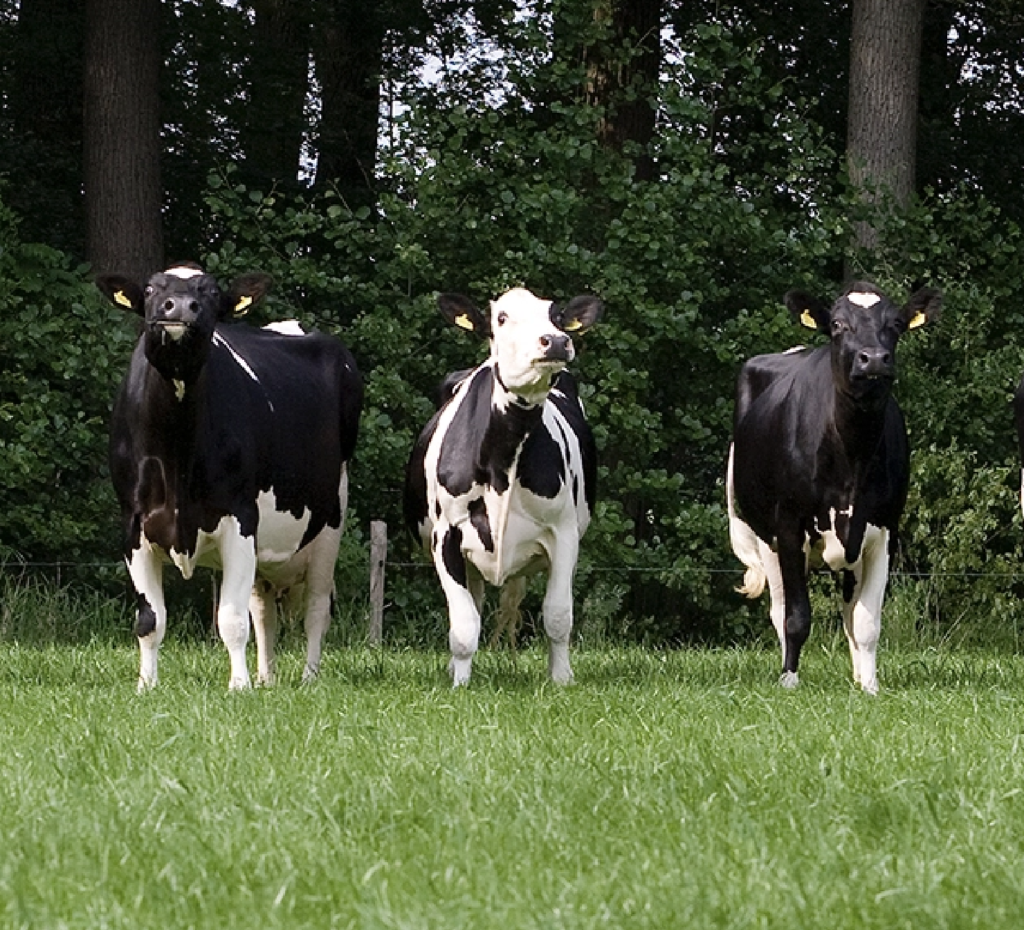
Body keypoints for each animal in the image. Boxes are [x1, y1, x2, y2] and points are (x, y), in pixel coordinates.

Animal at [98, 264, 364, 688]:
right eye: (153, 289)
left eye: (210, 292)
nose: (180, 306)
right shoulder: (133, 524)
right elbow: (150, 620)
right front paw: (146, 685)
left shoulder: (240, 517)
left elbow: (232, 620)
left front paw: (238, 686)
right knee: (265, 611)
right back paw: (266, 677)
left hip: (330, 520)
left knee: (317, 609)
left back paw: (308, 677)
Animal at [403, 286, 602, 688]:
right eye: (502, 318)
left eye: (556, 316)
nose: (557, 341)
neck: (502, 461)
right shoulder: (446, 536)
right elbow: (463, 625)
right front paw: (460, 684)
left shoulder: (564, 533)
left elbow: (558, 615)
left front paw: (562, 679)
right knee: (473, 607)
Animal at [724, 280, 937, 692]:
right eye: (838, 324)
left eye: (896, 324)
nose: (874, 359)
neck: (852, 458)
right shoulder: (789, 528)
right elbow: (796, 617)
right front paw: (790, 679)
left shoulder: (884, 531)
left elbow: (865, 622)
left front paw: (869, 686)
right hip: (764, 535)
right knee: (779, 609)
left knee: (850, 614)